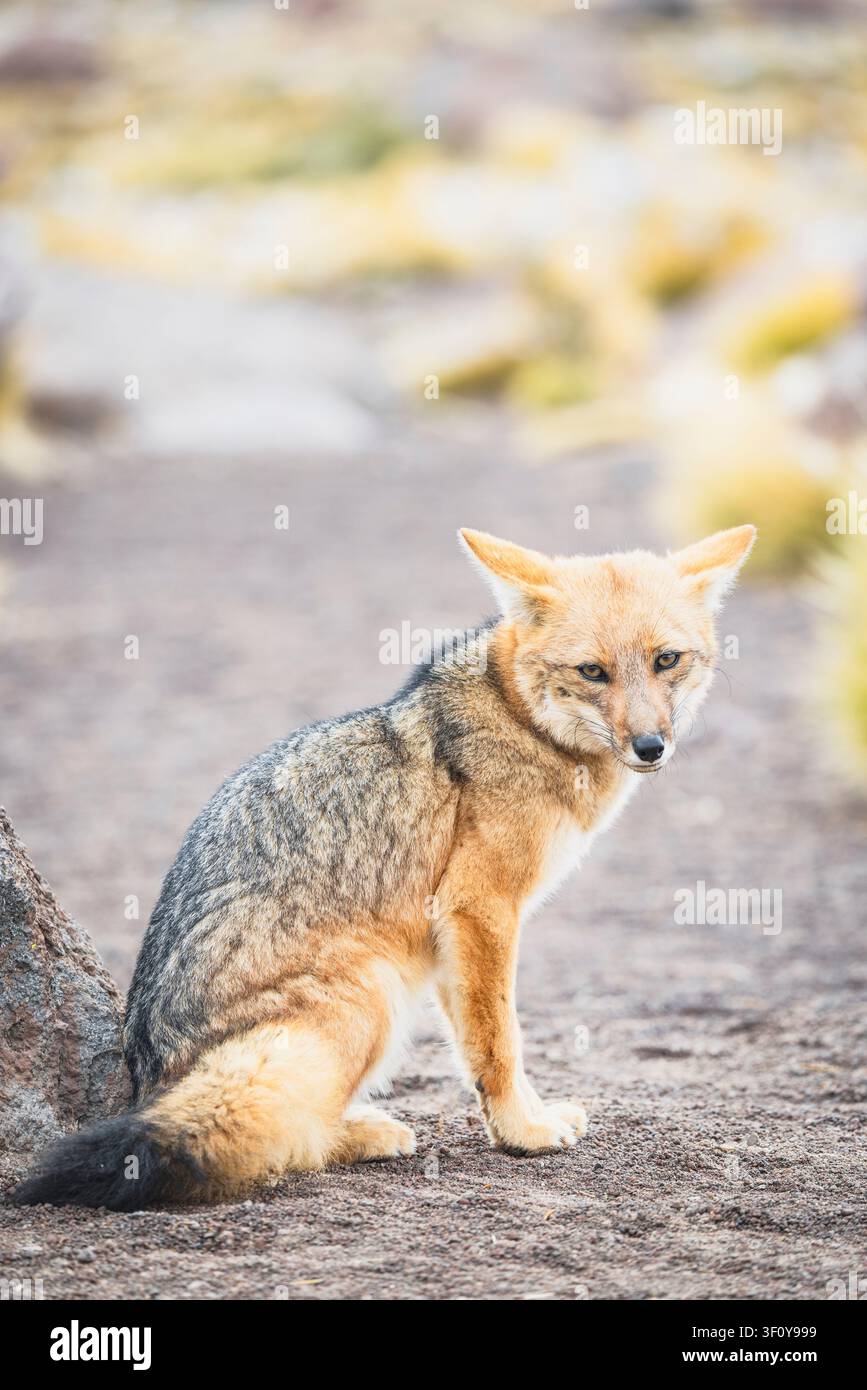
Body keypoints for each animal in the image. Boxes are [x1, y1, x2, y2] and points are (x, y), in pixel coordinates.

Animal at [12, 523, 755, 1209]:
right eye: (592, 671)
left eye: (666, 660)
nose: (651, 746)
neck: (521, 719)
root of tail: (151, 1070)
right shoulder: (481, 909)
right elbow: (500, 1040)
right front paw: (524, 1132)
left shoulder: (457, 936)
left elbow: (475, 1042)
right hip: (374, 991)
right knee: (283, 1139)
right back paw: (363, 1133)